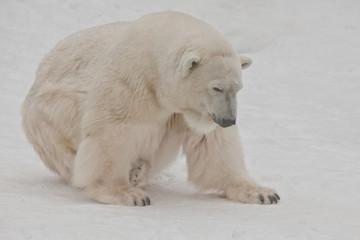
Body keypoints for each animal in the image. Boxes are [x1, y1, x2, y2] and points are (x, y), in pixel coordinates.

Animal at [22, 11, 280, 206]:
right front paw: (128, 194)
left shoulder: (189, 112)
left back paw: (138, 169)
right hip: (48, 122)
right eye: (216, 87)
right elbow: (110, 133)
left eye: (238, 87)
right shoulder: (130, 82)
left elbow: (214, 145)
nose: (228, 120)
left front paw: (263, 193)